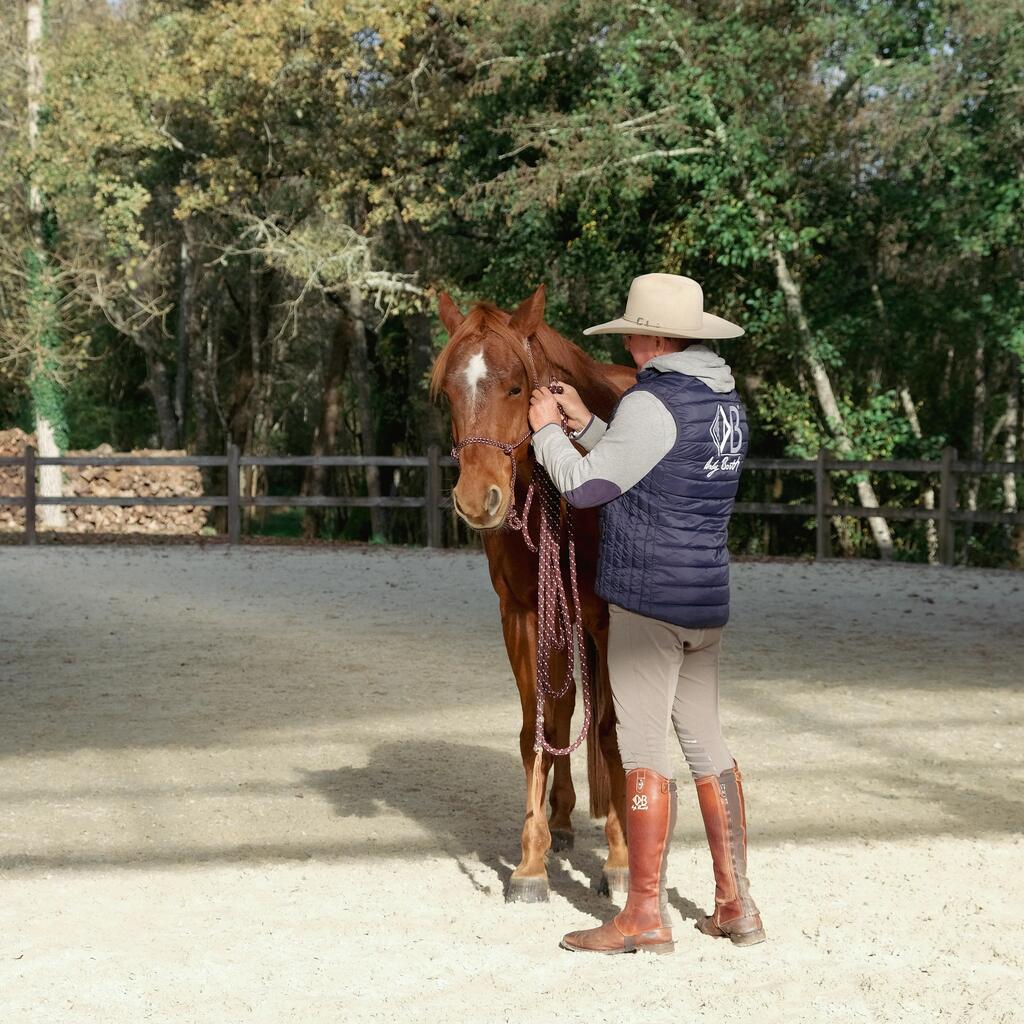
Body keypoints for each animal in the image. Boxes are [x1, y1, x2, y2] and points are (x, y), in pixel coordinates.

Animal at [430, 283, 637, 902]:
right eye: (448, 392)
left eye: (516, 387)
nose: (478, 499)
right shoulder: (520, 613)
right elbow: (535, 732)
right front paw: (529, 863)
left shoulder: (608, 619)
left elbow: (610, 732)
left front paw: (621, 861)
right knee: (563, 711)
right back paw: (563, 821)